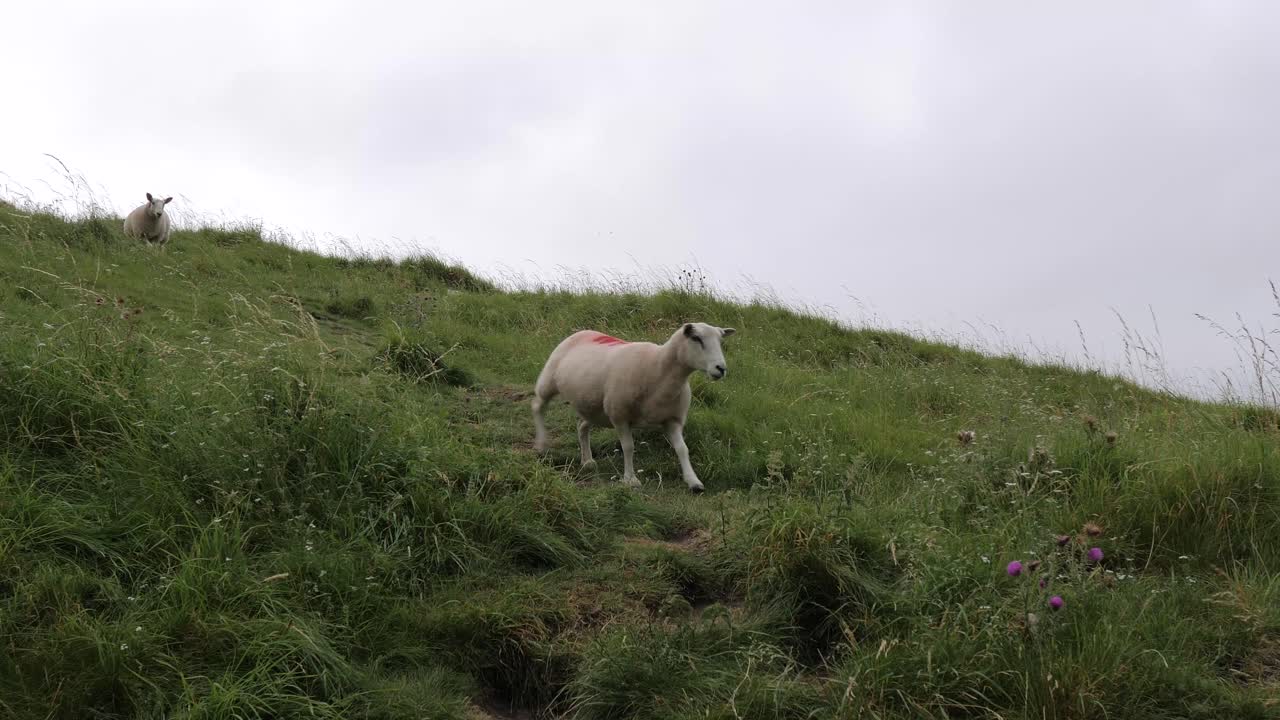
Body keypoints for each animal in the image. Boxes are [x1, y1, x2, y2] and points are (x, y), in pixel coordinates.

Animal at [531, 322, 736, 492]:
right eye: (696, 339)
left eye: (720, 341)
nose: (721, 368)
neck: (660, 370)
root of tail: (583, 331)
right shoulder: (620, 415)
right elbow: (628, 447)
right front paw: (630, 480)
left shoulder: (673, 419)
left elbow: (682, 449)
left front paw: (693, 481)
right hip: (548, 381)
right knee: (537, 407)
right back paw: (541, 445)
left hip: (594, 407)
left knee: (581, 426)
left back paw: (587, 460)